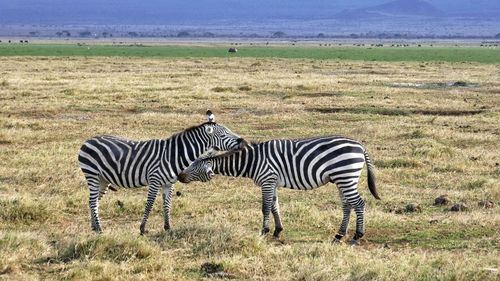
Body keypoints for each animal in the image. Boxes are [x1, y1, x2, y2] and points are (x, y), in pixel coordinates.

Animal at [77, 110, 246, 233]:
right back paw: (99, 229)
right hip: (92, 174)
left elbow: (167, 205)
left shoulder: (168, 184)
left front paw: (168, 227)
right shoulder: (154, 180)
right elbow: (150, 204)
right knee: (93, 201)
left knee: (94, 201)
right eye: (224, 134)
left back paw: (94, 227)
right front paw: (142, 229)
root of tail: (88, 140)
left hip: (103, 179)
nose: (243, 141)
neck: (173, 154)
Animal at [180, 135, 378, 243]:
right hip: (342, 179)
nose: (180, 176)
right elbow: (275, 206)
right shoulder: (272, 182)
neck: (253, 161)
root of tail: (360, 146)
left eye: (193, 166)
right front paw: (277, 231)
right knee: (347, 205)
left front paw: (263, 232)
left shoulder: (267, 180)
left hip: (346, 176)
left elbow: (265, 207)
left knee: (359, 204)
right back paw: (339, 235)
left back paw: (357, 236)